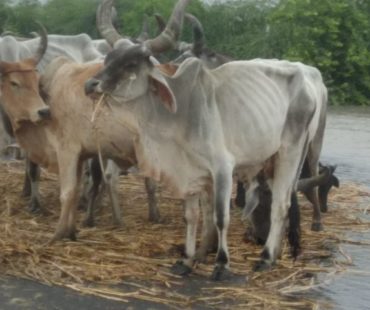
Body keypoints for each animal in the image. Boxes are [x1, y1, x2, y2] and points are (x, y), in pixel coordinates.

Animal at [84, 0, 326, 280]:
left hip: (293, 151)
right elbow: (191, 216)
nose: (90, 85)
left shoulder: (222, 169)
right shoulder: (188, 172)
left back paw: (265, 258)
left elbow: (221, 217)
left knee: (281, 203)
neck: (180, 113)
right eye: (109, 58)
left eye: (132, 63)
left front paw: (221, 264)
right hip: (273, 159)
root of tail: (307, 81)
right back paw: (274, 255)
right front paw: (187, 259)